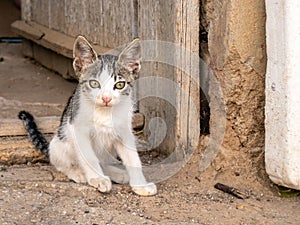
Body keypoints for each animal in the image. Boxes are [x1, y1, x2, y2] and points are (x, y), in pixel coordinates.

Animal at [18, 36, 157, 196]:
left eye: (120, 85)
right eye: (94, 83)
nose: (106, 98)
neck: (104, 112)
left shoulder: (124, 131)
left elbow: (133, 158)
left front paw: (141, 185)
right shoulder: (77, 129)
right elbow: (88, 156)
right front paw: (98, 178)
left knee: (102, 161)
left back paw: (117, 173)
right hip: (60, 141)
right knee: (60, 162)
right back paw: (77, 172)